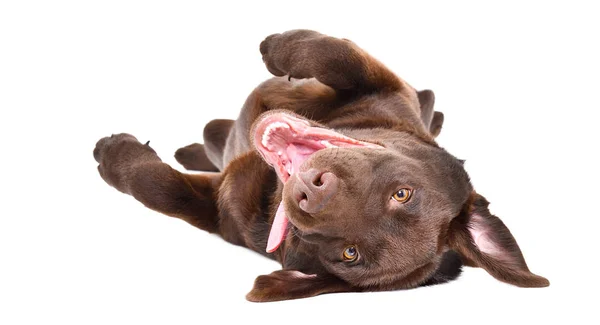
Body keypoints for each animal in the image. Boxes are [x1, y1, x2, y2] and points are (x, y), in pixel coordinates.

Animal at [94, 29, 548, 300]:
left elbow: (157, 188)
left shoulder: (218, 214)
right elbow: (337, 54)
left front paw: (113, 155)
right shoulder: (388, 88)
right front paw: (276, 47)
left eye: (349, 254)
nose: (310, 191)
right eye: (403, 194)